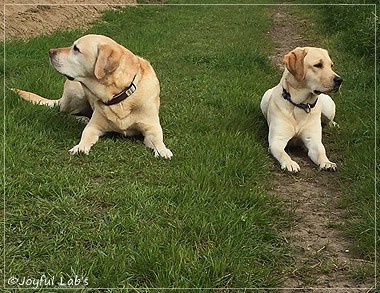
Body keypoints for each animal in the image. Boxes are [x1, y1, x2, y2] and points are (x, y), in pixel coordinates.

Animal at [13, 33, 173, 160]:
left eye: (76, 49)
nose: (50, 51)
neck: (119, 96)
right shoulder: (94, 126)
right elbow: (86, 134)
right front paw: (79, 147)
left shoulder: (152, 127)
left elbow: (158, 139)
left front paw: (163, 150)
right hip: (75, 92)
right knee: (64, 112)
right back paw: (82, 118)